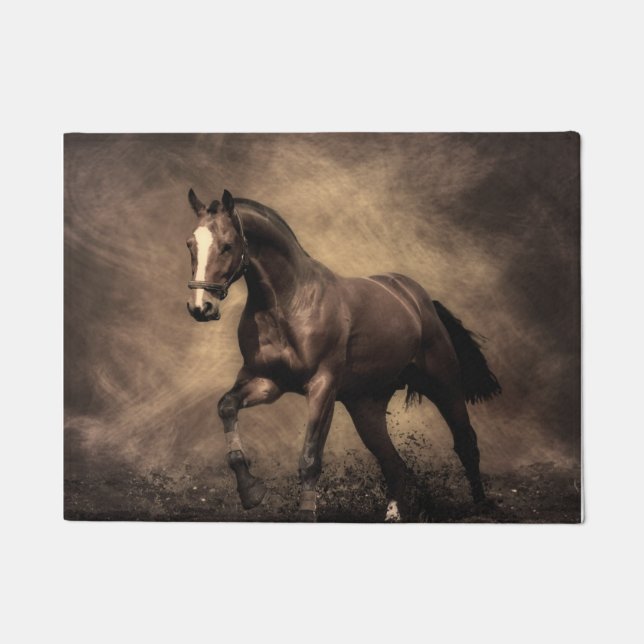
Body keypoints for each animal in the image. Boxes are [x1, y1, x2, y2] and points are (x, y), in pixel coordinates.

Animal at [185, 188, 501, 521]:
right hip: (366, 407)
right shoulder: (267, 382)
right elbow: (226, 407)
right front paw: (251, 491)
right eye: (190, 244)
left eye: (227, 245)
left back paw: (481, 508)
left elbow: (310, 458)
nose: (201, 307)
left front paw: (304, 514)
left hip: (444, 385)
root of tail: (419, 299)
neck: (289, 303)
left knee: (466, 443)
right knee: (394, 464)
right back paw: (393, 516)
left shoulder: (322, 387)